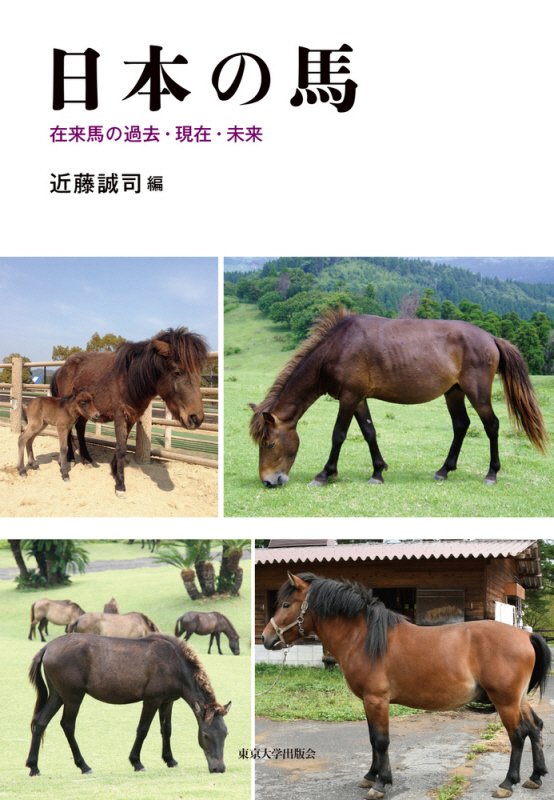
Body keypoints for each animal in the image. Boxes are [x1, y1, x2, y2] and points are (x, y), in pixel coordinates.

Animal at [25, 633, 231, 776]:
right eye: (205, 735)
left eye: (225, 734)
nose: (219, 768)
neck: (173, 662)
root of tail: (48, 647)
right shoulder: (152, 700)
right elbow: (143, 729)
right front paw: (136, 762)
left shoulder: (167, 702)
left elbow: (166, 730)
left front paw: (170, 759)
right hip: (73, 697)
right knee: (67, 725)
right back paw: (84, 765)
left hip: (57, 696)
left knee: (41, 722)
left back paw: (33, 766)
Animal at [50, 327, 208, 495]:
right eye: (177, 372)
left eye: (199, 371)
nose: (196, 418)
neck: (129, 379)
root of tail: (61, 369)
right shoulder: (119, 415)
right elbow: (121, 448)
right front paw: (120, 484)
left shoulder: (132, 416)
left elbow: (123, 443)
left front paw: (114, 469)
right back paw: (70, 458)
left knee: (80, 429)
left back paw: (86, 459)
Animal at [249, 309, 547, 487]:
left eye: (270, 443)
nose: (268, 481)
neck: (338, 347)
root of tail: (491, 338)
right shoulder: (358, 398)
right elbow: (369, 432)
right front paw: (378, 472)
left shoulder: (349, 397)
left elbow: (339, 435)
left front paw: (325, 474)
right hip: (454, 392)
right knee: (461, 425)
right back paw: (443, 470)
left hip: (477, 393)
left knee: (491, 425)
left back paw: (492, 473)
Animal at [262, 572, 551, 799]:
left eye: (286, 604)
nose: (266, 638)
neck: (363, 638)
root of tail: (524, 635)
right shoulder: (369, 701)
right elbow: (372, 739)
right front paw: (371, 775)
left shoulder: (376, 699)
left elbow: (381, 741)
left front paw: (380, 784)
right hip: (518, 699)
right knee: (535, 727)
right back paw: (535, 777)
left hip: (505, 701)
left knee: (517, 735)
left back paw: (507, 783)